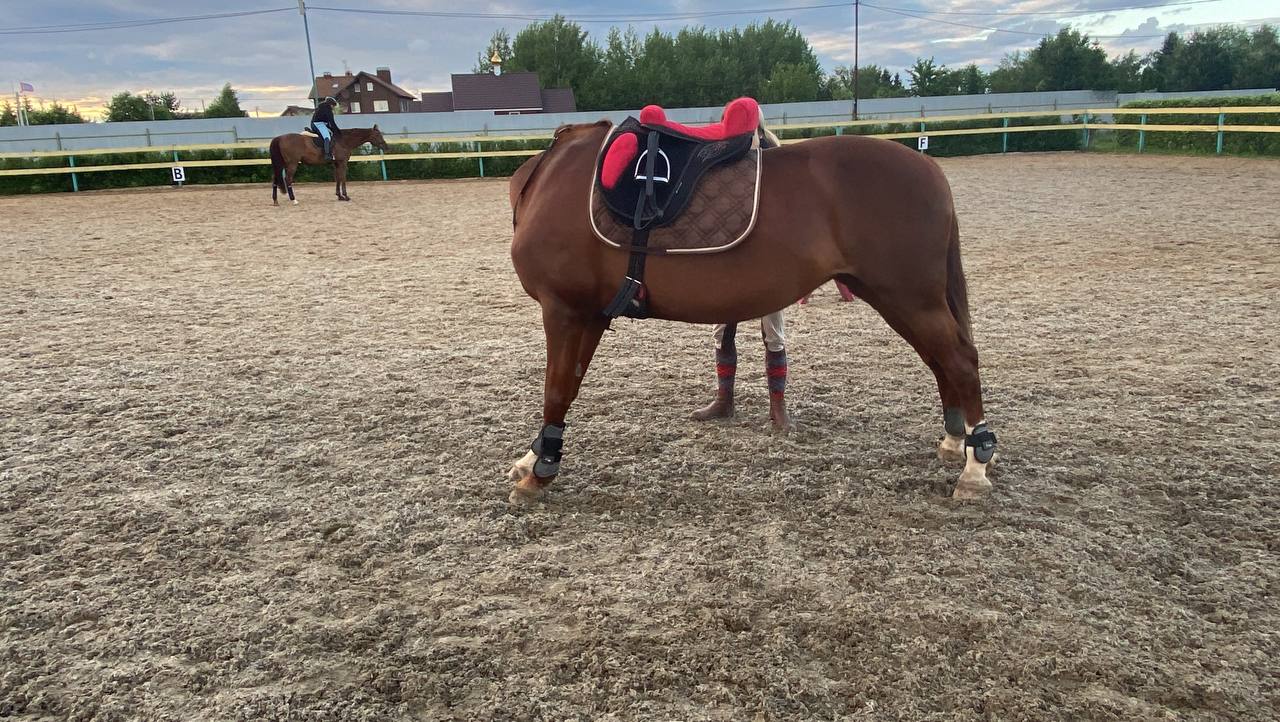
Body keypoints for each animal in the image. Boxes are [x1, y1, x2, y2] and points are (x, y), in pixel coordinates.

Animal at [504, 120, 993, 504]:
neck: (551, 178)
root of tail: (928, 168)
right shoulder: (590, 313)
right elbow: (569, 384)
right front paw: (533, 456)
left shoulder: (565, 309)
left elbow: (556, 388)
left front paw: (542, 468)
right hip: (896, 297)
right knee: (939, 361)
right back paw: (955, 440)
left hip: (910, 297)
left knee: (960, 362)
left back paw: (975, 467)